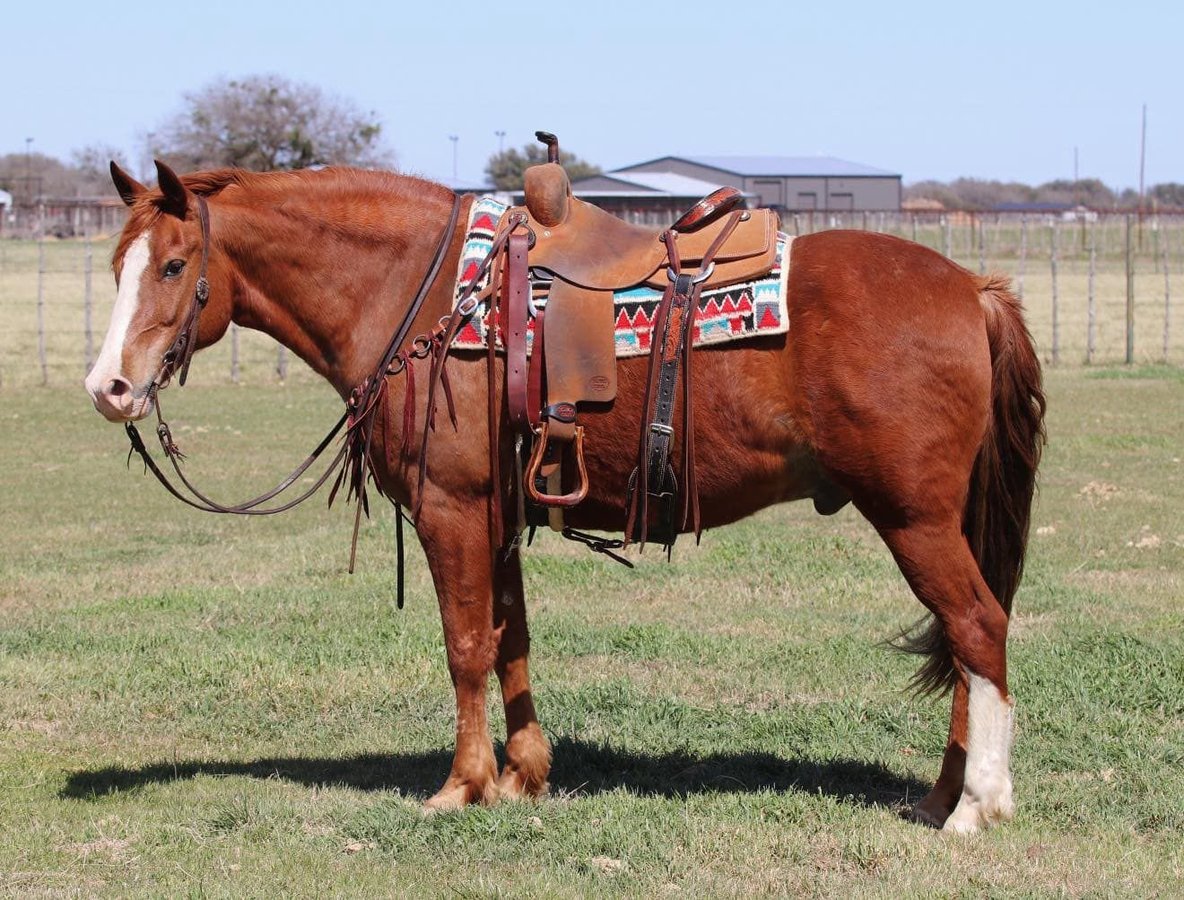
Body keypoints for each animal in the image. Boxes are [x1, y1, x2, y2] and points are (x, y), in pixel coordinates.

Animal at [84, 160, 1044, 833]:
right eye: (118, 263)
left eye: (173, 265)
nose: (109, 388)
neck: (421, 289)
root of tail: (972, 288)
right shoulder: (499, 514)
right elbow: (512, 641)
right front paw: (523, 775)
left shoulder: (451, 507)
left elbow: (465, 645)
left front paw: (462, 786)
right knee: (966, 642)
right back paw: (941, 796)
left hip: (915, 520)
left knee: (978, 628)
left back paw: (977, 805)